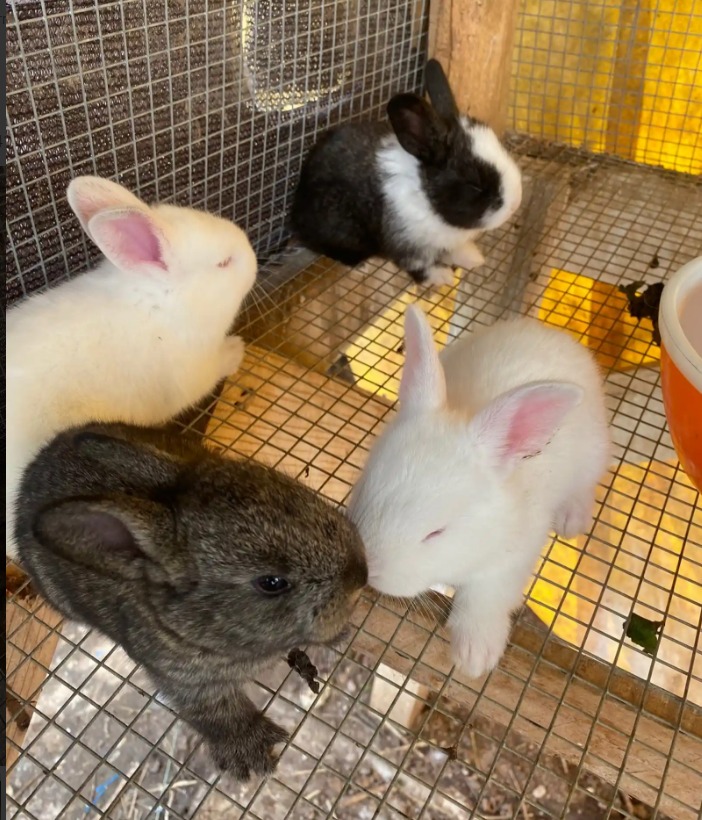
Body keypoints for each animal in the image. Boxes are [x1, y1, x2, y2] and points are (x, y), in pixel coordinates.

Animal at [6, 175, 258, 559]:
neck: (159, 302)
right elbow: (218, 364)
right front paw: (237, 349)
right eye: (224, 263)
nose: (255, 257)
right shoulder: (195, 372)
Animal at [15, 422, 368, 780]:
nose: (360, 576)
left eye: (297, 492)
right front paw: (253, 753)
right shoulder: (185, 682)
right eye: (272, 583)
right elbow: (218, 714)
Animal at [290, 59, 522, 288]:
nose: (514, 205)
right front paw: (441, 277)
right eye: (474, 184)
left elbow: (454, 249)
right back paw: (363, 265)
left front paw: (472, 257)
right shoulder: (407, 246)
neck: (426, 198)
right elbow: (419, 266)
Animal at [348, 305, 611, 679]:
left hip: (592, 455)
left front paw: (475, 656)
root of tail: (551, 333)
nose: (371, 571)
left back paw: (571, 521)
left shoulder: (509, 563)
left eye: (436, 532)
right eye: (364, 486)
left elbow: (484, 598)